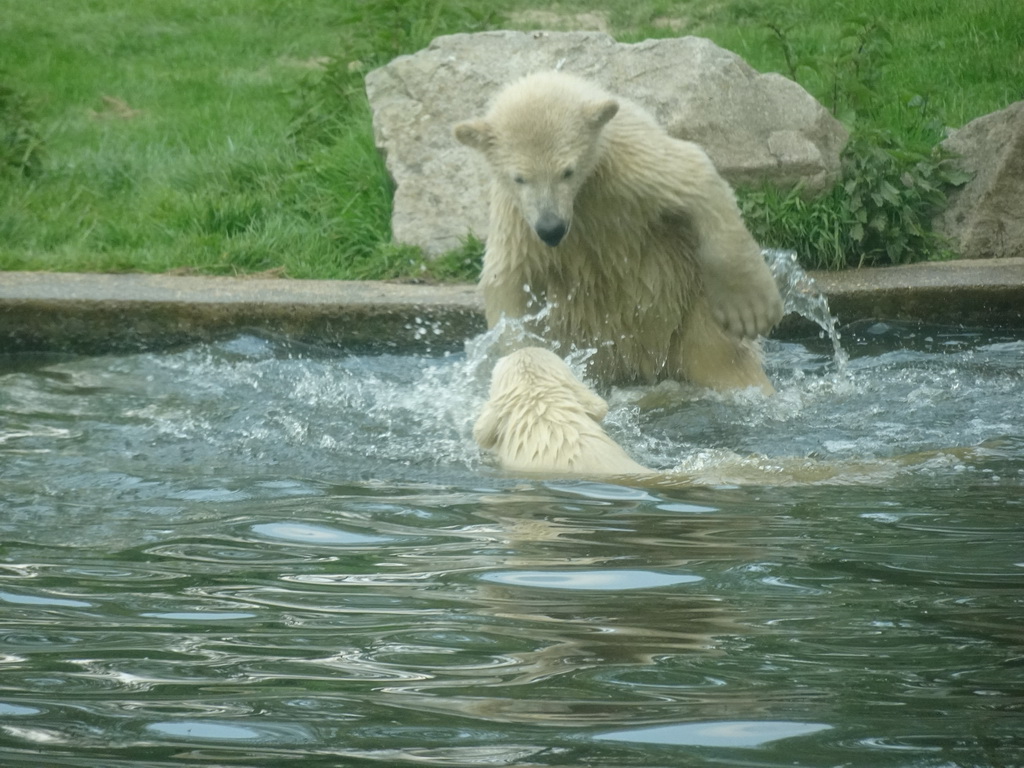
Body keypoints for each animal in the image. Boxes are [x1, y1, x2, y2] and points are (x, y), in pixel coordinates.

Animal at [452, 70, 778, 393]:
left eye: (567, 171)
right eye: (519, 178)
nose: (551, 229)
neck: (582, 194)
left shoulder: (626, 162)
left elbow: (692, 175)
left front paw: (749, 308)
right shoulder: (518, 221)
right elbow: (508, 282)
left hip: (689, 305)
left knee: (720, 357)